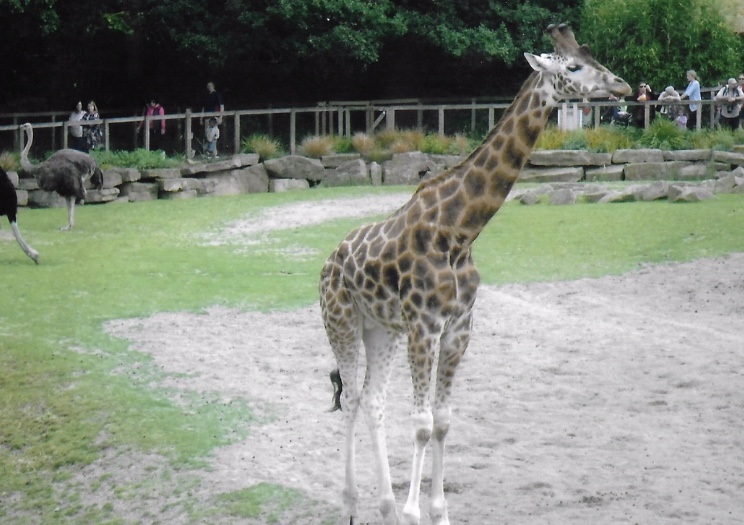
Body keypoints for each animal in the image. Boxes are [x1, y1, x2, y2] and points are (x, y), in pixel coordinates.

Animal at [319, 24, 631, 525]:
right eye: (573, 66)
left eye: (593, 57)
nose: (622, 86)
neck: (459, 231)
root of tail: (329, 262)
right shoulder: (424, 326)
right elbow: (422, 423)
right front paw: (414, 513)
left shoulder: (458, 327)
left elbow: (443, 422)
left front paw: (435, 511)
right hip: (341, 322)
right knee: (349, 399)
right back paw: (351, 504)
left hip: (380, 329)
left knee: (372, 401)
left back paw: (386, 506)